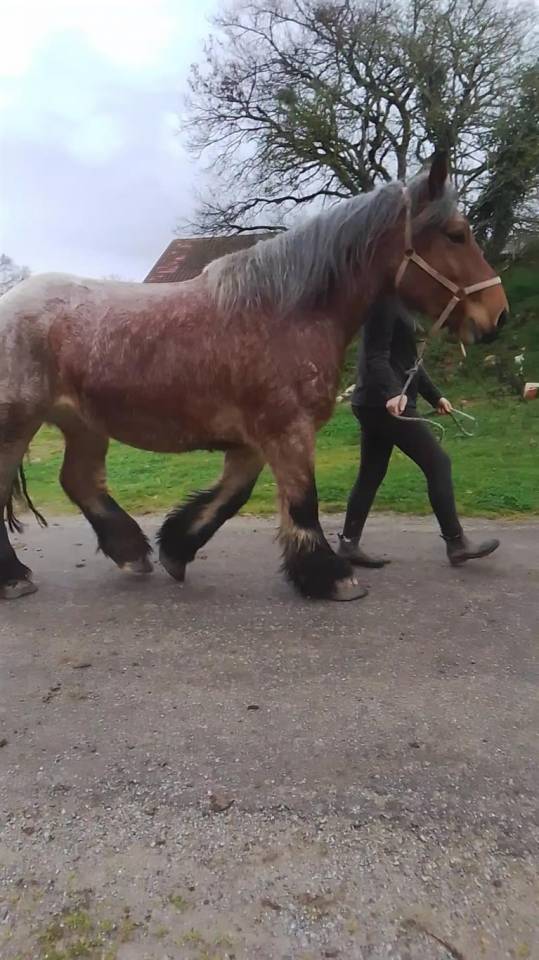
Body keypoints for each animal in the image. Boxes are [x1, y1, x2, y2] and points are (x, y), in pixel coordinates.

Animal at [0, 153, 508, 603]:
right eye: (456, 235)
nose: (497, 315)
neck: (283, 312)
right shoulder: (288, 431)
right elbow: (302, 502)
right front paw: (332, 578)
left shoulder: (253, 440)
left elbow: (231, 496)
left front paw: (177, 550)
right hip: (19, 425)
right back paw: (15, 578)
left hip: (83, 423)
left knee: (79, 479)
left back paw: (130, 552)